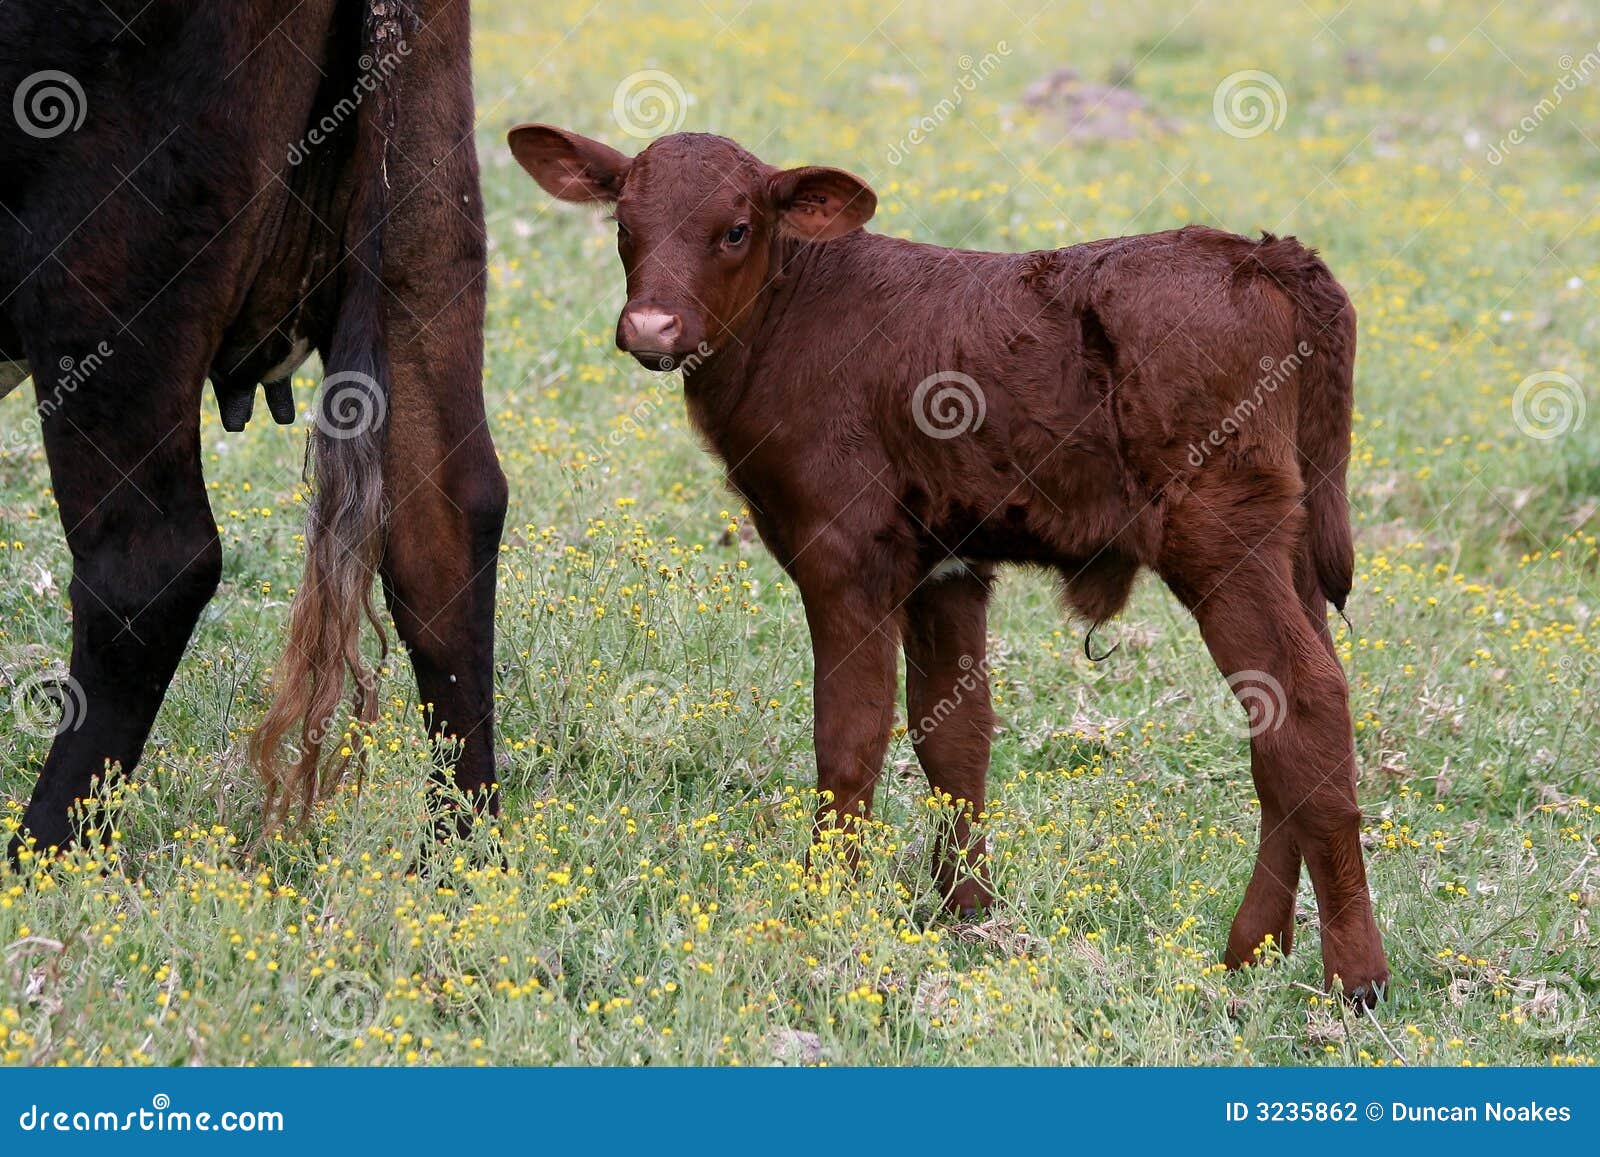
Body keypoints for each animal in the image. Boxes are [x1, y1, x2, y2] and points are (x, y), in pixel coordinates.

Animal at [1, 0, 507, 859]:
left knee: (153, 564)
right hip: (425, 208)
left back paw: (40, 853)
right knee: (445, 524)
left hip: (108, 266)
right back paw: (459, 862)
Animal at [508, 124, 1390, 1004]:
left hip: (1220, 532)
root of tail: (1263, 254)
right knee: (1281, 728)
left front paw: (822, 903)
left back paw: (1354, 976)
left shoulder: (843, 551)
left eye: (735, 229)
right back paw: (1252, 950)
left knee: (1305, 701)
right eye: (624, 224)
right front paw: (967, 909)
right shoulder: (946, 566)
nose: (651, 326)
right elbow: (954, 736)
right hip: (1289, 546)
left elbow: (850, 734)